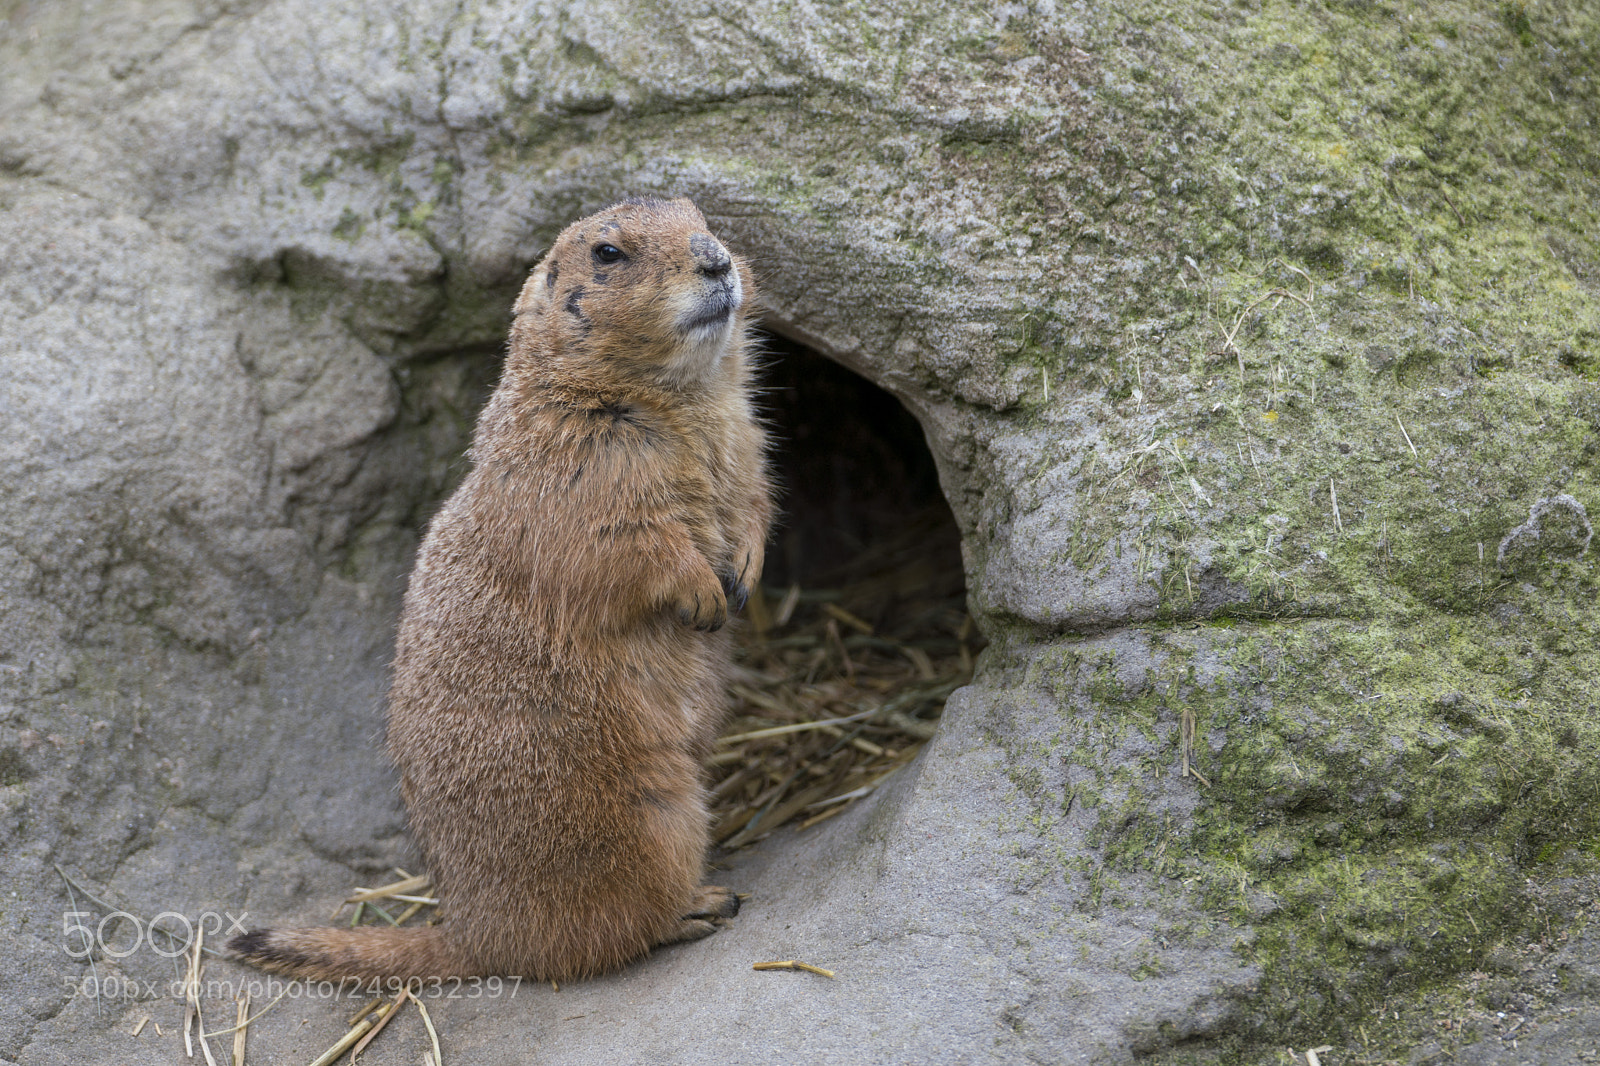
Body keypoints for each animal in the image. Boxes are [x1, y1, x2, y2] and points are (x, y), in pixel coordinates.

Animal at [230, 197, 771, 981]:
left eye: (698, 213)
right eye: (608, 253)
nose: (715, 257)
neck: (687, 398)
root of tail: (471, 929)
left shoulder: (747, 441)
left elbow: (756, 500)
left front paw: (748, 569)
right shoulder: (582, 467)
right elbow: (626, 544)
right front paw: (701, 591)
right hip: (652, 822)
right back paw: (698, 906)